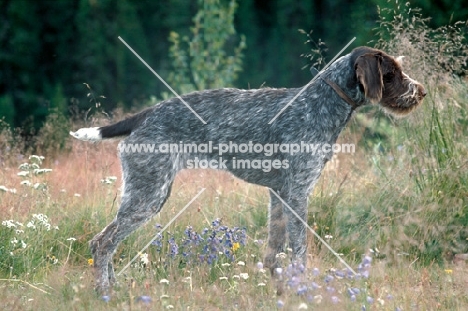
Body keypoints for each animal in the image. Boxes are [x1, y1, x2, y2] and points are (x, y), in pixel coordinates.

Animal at [70, 45, 428, 292]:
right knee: (102, 244)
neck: (322, 103)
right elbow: (299, 250)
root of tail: (145, 114)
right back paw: (104, 291)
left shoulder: (280, 195)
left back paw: (115, 288)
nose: (422, 92)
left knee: (107, 242)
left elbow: (274, 249)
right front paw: (302, 288)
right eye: (392, 73)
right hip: (148, 195)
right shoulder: (297, 194)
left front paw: (276, 287)